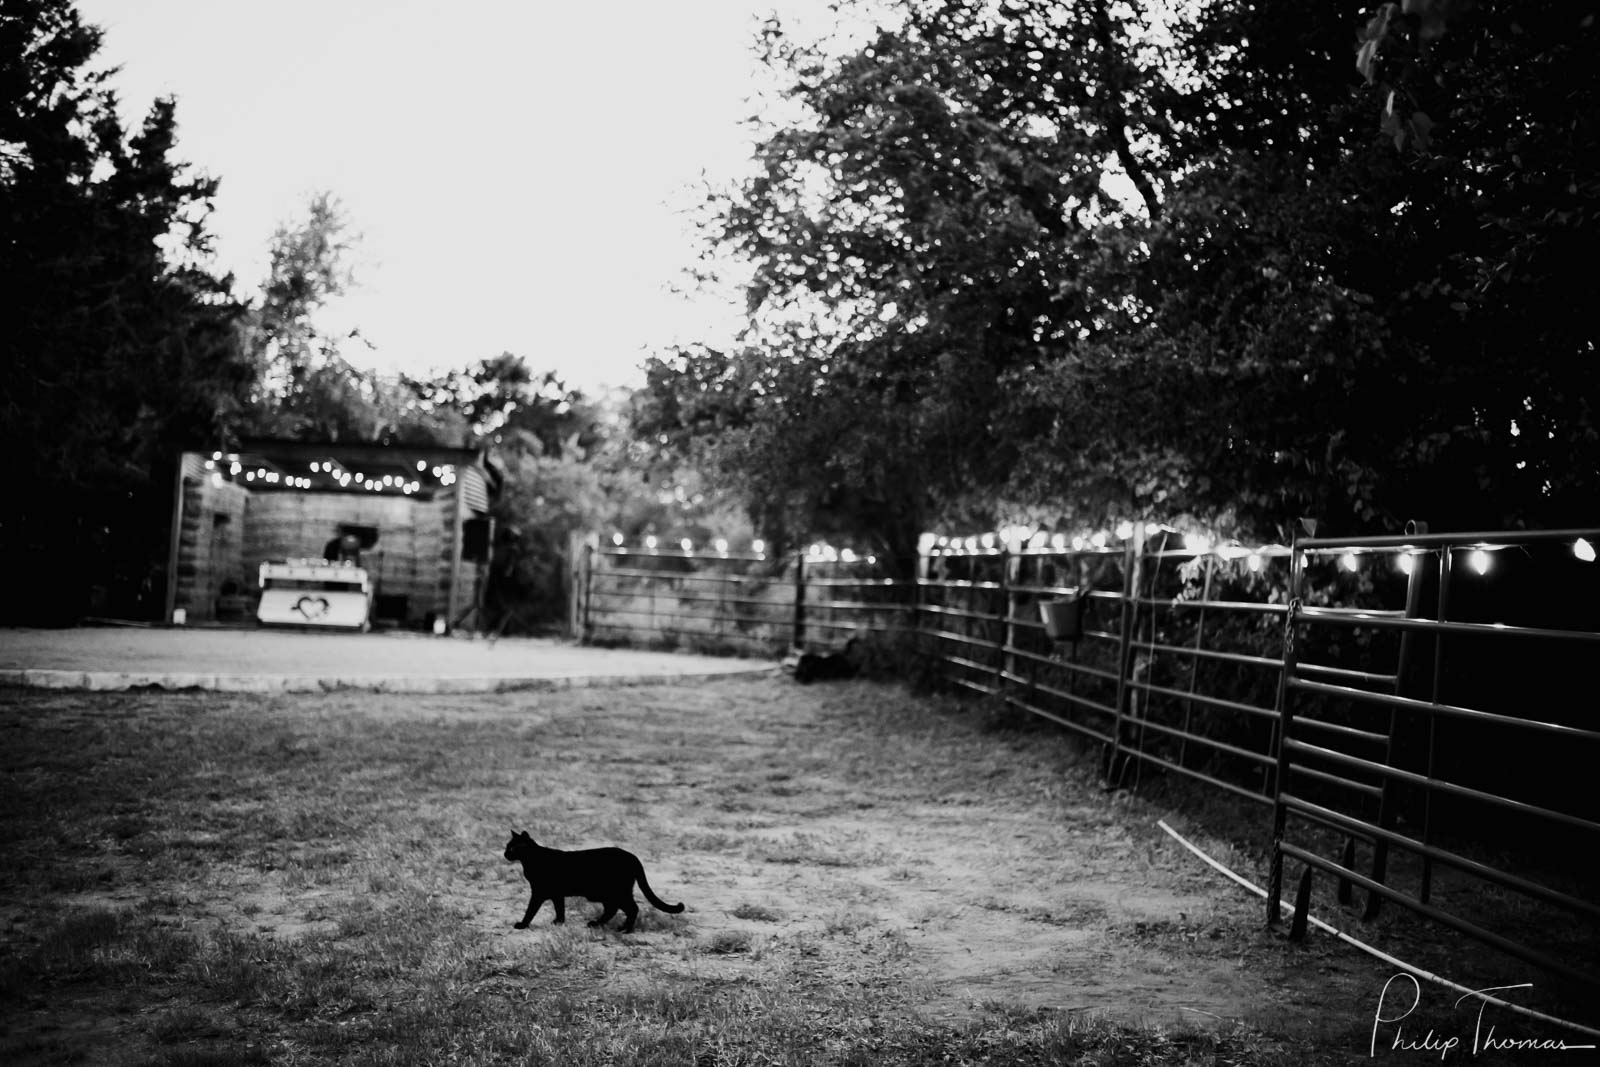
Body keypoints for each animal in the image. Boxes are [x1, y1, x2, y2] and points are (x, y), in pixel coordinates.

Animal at [502, 825, 684, 934]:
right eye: (506, 847)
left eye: (512, 848)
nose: (505, 854)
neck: (532, 859)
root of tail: (633, 857)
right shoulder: (556, 893)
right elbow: (559, 908)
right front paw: (559, 922)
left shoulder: (538, 892)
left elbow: (530, 910)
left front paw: (522, 924)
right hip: (608, 894)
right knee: (613, 909)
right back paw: (598, 924)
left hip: (614, 892)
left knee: (631, 908)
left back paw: (624, 929)